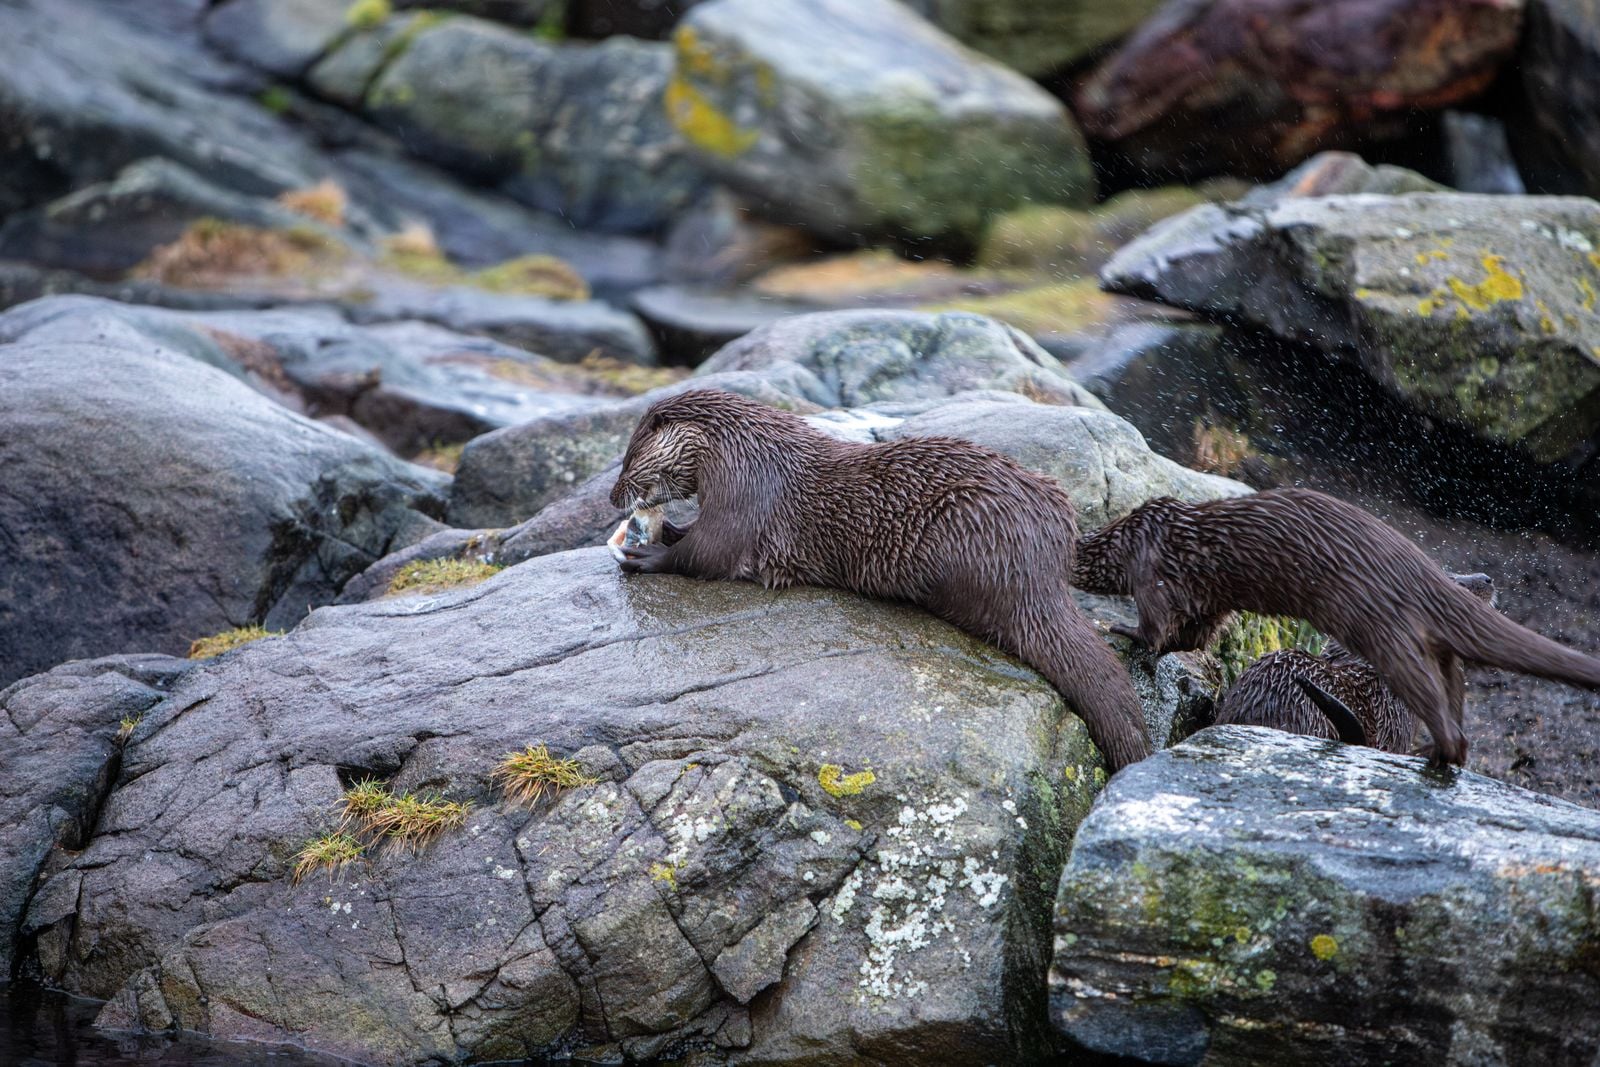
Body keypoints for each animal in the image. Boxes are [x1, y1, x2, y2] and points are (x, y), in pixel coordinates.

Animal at [608, 388, 1153, 770]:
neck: (743, 450)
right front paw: (668, 527)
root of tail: (1045, 560)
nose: (614, 495)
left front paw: (650, 551)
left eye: (628, 459)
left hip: (964, 537)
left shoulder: (745, 494)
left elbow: (709, 554)